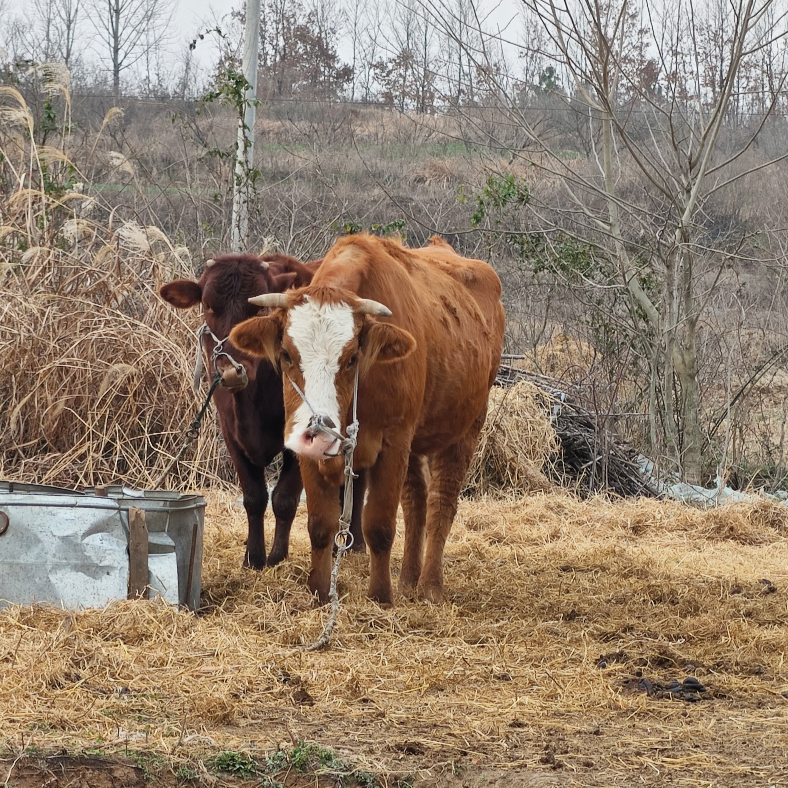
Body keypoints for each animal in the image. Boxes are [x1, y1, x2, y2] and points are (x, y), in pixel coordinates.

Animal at [160, 255, 366, 568]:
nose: (230, 368)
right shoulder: (231, 433)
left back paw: (353, 544)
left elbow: (284, 498)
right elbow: (254, 496)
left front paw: (277, 557)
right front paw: (253, 557)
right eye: (207, 305)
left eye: (259, 308)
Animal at [231, 234, 504, 604]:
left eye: (352, 358)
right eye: (286, 353)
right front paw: (320, 594)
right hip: (415, 441)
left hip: (466, 426)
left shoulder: (393, 441)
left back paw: (430, 586)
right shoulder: (306, 450)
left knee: (441, 503)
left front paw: (379, 597)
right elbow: (320, 524)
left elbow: (379, 525)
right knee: (416, 502)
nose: (318, 430)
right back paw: (408, 581)